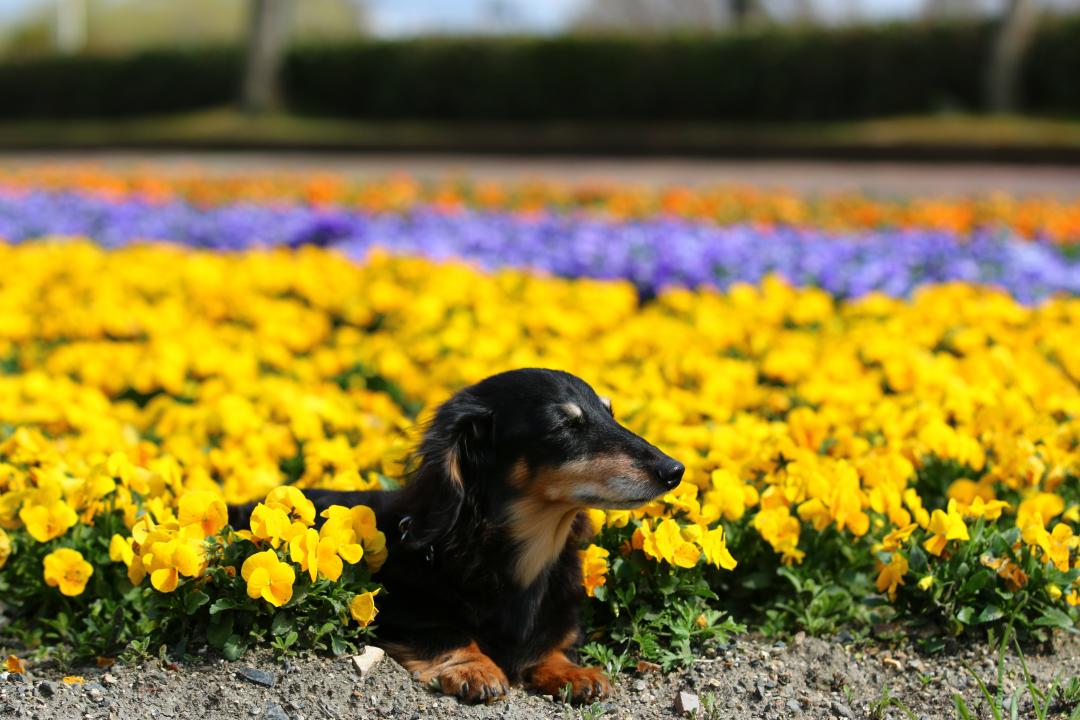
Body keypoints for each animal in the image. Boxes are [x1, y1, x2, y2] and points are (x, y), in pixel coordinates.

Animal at [231, 371, 682, 703]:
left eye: (610, 413)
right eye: (563, 425)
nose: (674, 471)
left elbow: (553, 642)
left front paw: (570, 671)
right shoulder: (393, 608)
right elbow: (442, 629)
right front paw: (473, 667)